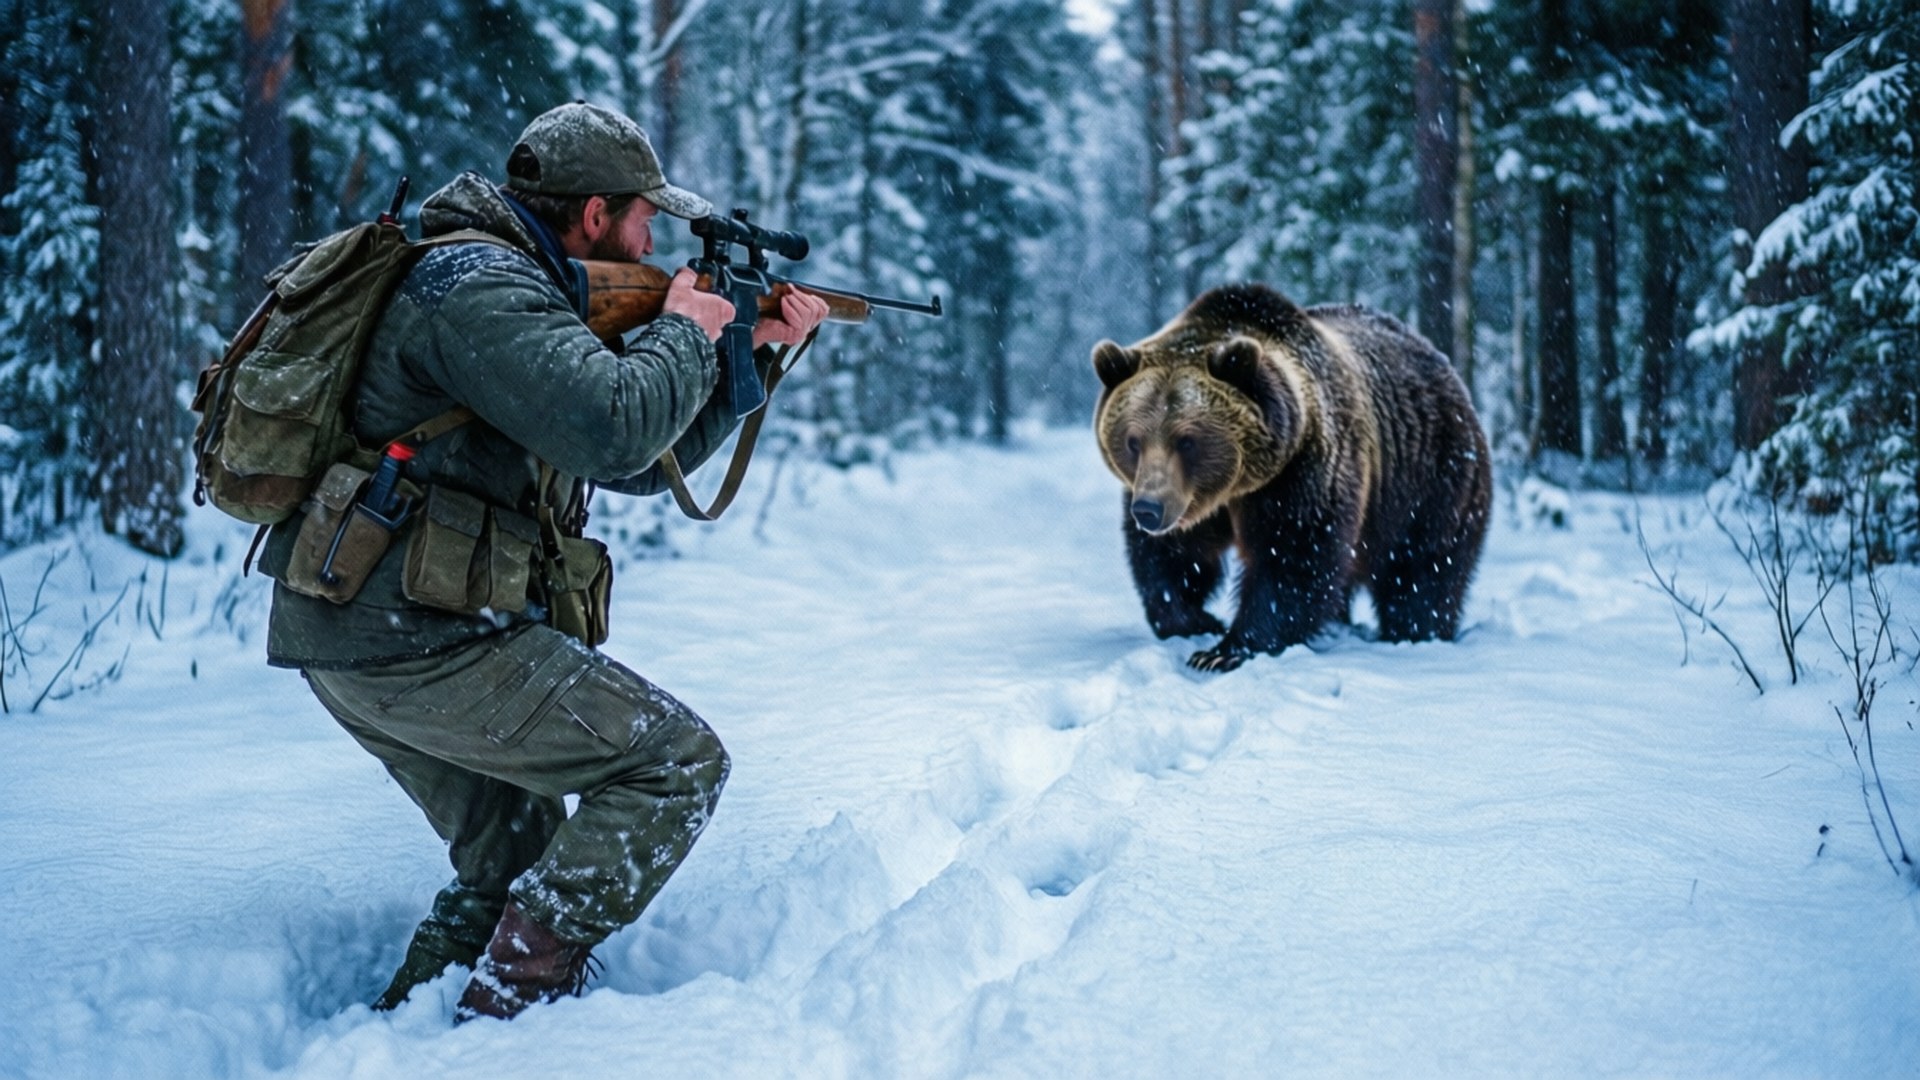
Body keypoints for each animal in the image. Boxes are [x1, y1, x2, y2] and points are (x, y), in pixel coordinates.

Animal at [1092, 282, 1492, 672]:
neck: (1236, 487)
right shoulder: (1186, 500)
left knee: (1423, 569)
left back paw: (1413, 633)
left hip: (1431, 481)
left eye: (1187, 440)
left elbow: (1292, 558)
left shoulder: (1301, 472)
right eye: (1133, 441)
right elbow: (1172, 556)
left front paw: (1223, 652)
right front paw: (1196, 622)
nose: (1149, 509)